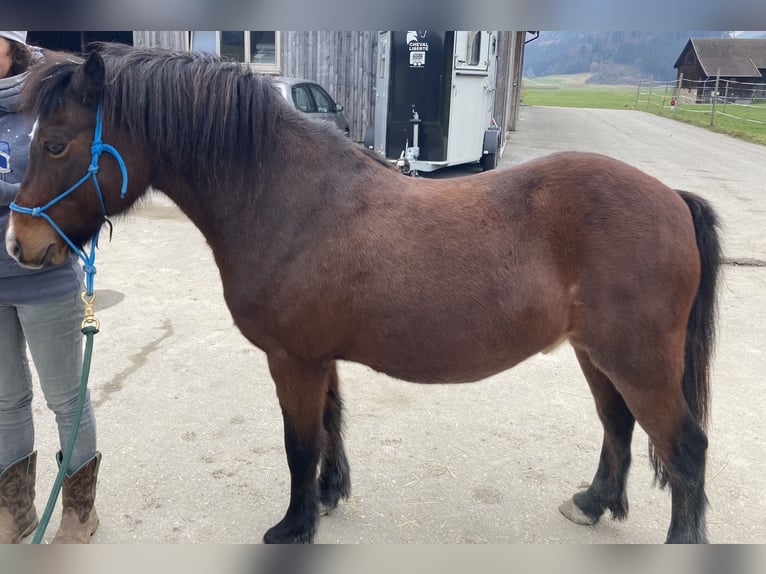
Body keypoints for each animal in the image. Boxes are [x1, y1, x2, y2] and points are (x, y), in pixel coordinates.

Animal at [5, 43, 721, 544]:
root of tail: (671, 198)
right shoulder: (318, 359)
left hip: (636, 360)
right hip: (595, 353)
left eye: (56, 143)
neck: (287, 199)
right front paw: (328, 498)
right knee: (618, 425)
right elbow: (330, 425)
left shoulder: (292, 359)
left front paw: (294, 526)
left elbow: (299, 443)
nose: (20, 245)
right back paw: (593, 503)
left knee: (685, 448)